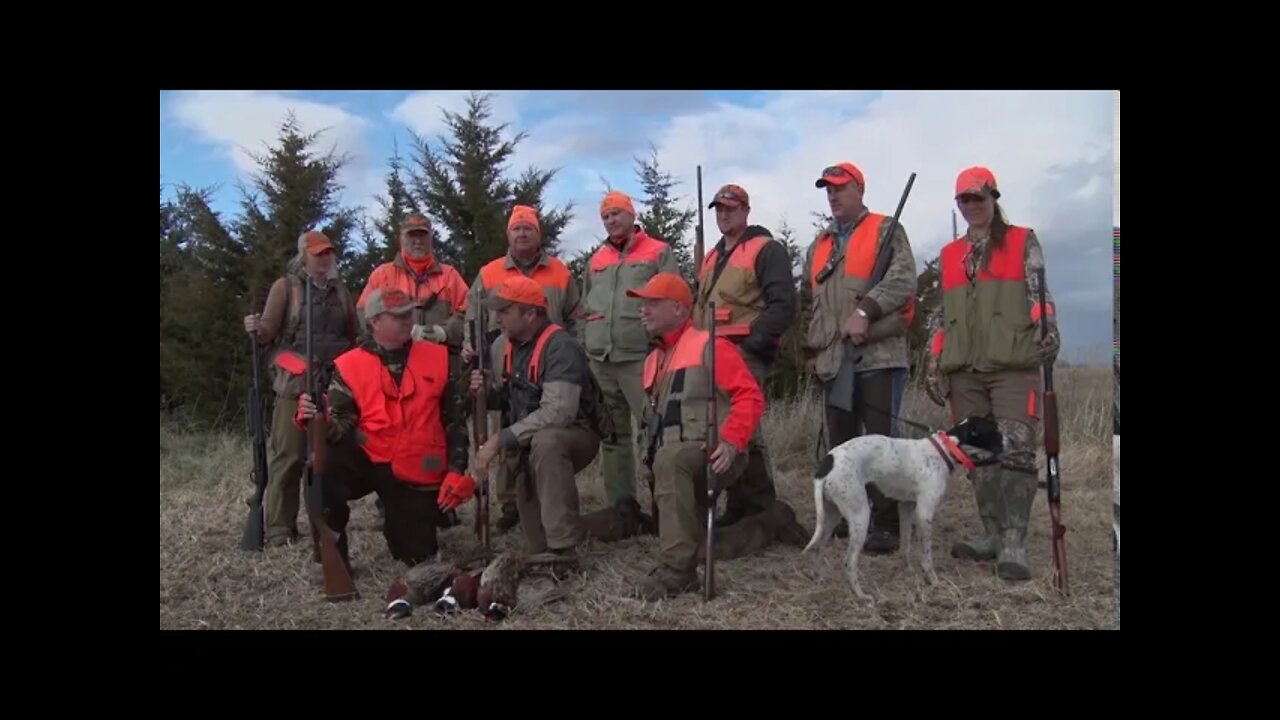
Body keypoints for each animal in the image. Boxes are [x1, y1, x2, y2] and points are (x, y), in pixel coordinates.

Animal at [803, 415, 1003, 599]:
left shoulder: (907, 507)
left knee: (819, 547)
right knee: (848, 561)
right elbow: (927, 556)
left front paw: (908, 570)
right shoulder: (924, 513)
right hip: (860, 516)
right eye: (996, 433)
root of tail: (827, 464)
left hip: (832, 516)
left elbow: (905, 546)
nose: (1007, 443)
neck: (943, 449)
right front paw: (932, 580)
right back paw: (861, 595)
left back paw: (818, 576)